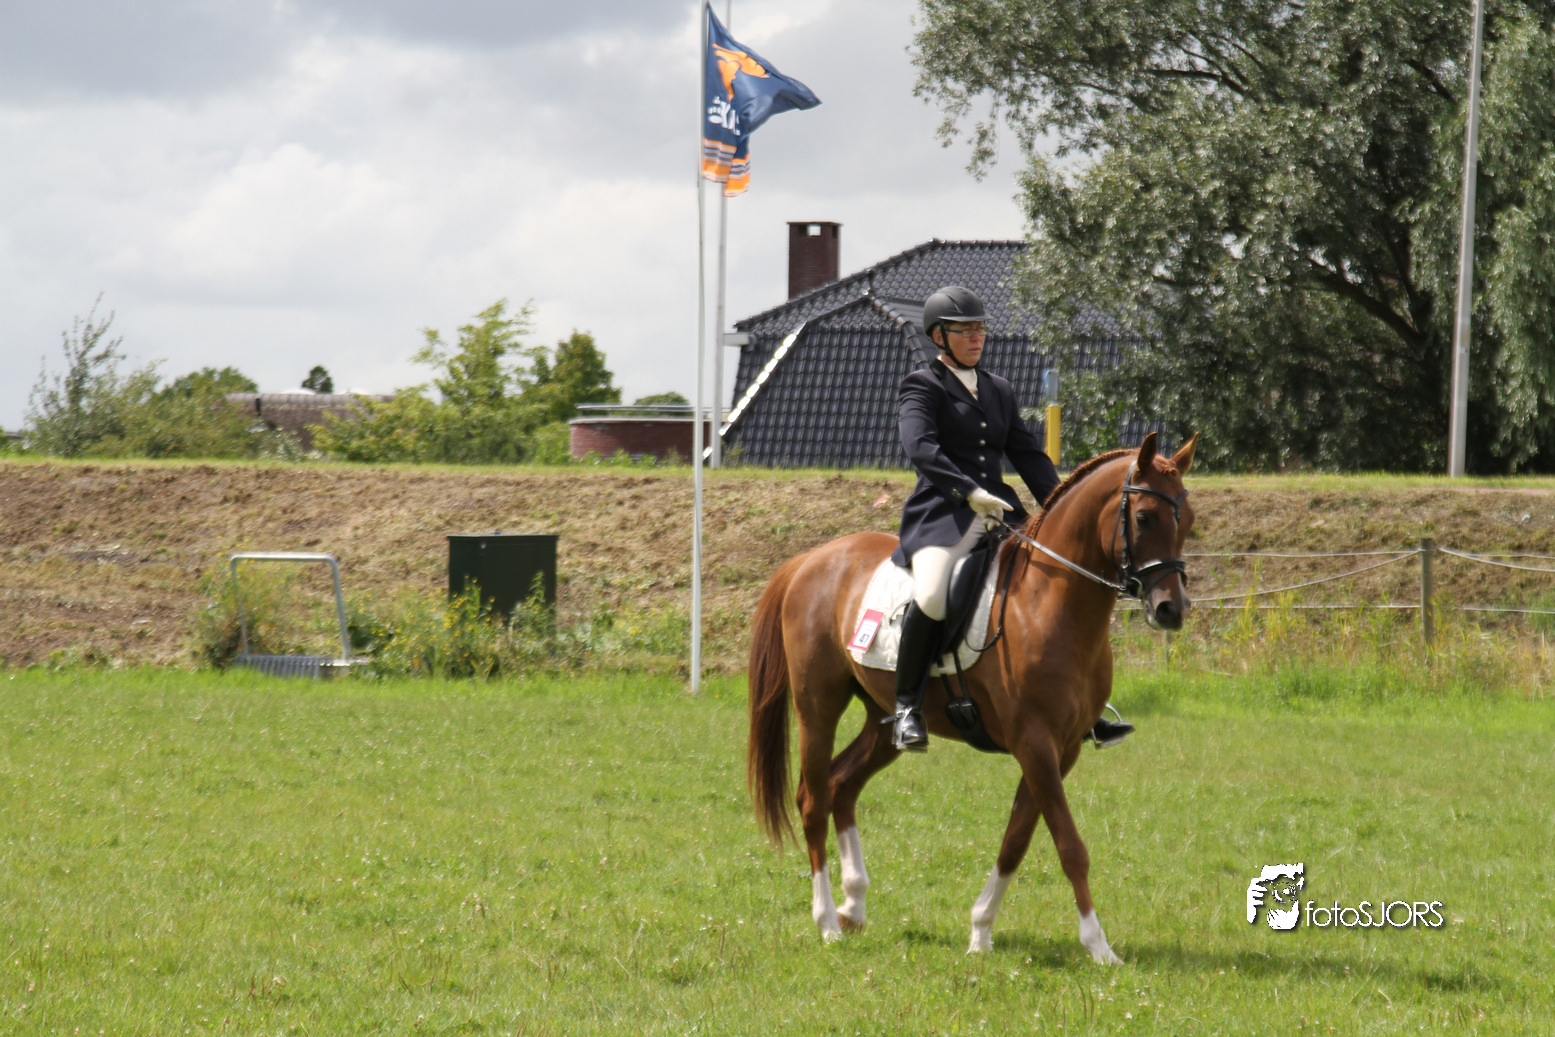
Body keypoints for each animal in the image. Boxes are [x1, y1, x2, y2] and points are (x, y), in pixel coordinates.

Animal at [747, 431, 1197, 961]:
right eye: (1144, 517)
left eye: (1186, 519)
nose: (1171, 610)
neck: (1049, 600)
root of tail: (811, 559)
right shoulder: (1035, 743)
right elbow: (1069, 846)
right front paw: (1099, 946)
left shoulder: (1061, 750)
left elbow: (1017, 840)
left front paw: (980, 931)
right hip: (818, 706)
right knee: (813, 799)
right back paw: (827, 923)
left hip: (882, 719)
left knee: (842, 785)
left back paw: (853, 905)